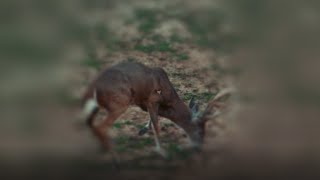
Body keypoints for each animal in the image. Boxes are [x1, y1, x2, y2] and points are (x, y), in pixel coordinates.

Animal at [79, 62, 230, 156]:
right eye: (200, 131)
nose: (198, 148)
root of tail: (92, 87)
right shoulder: (152, 99)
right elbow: (157, 125)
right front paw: (162, 152)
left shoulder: (144, 102)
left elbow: (152, 119)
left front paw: (143, 130)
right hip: (120, 103)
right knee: (101, 127)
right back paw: (116, 160)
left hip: (97, 107)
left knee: (90, 125)